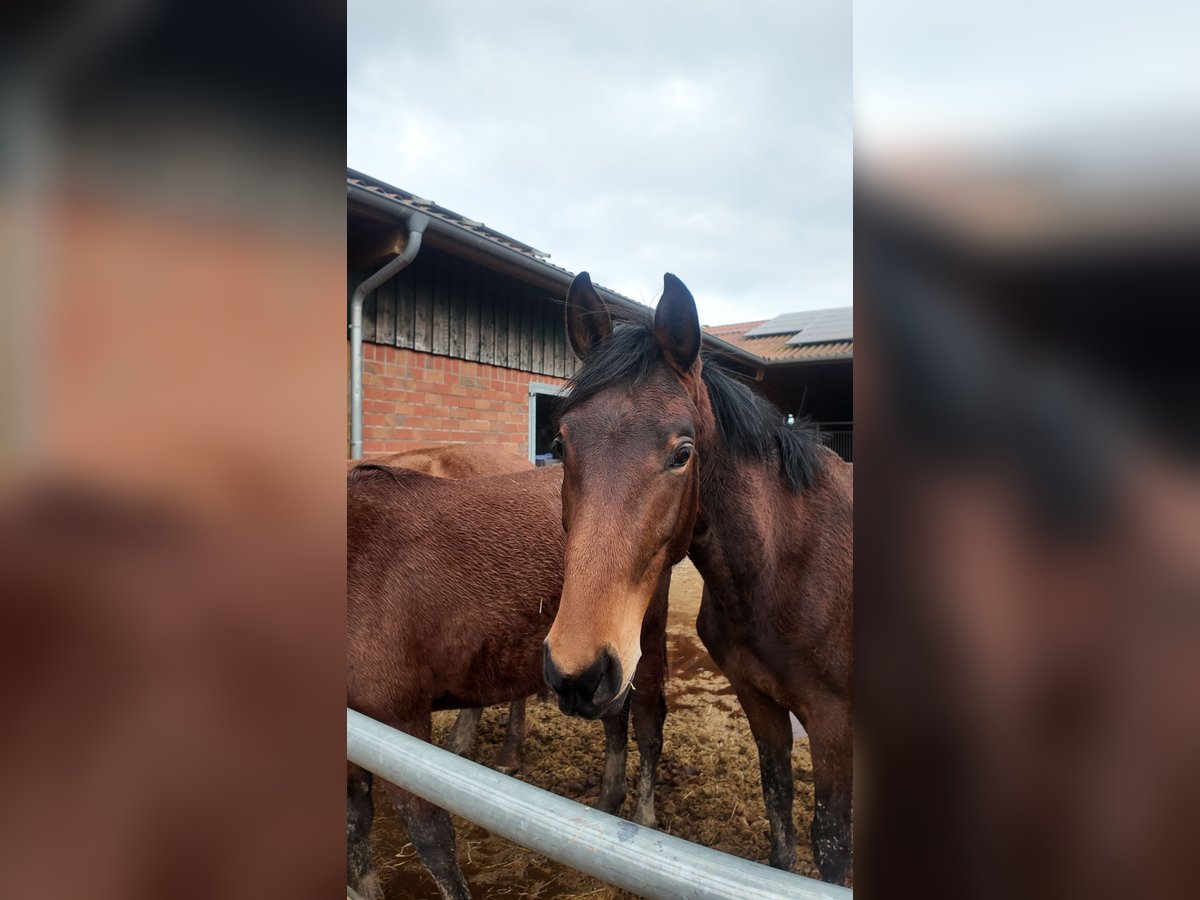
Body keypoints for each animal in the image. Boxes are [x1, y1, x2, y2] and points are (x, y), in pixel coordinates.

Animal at [544, 271, 854, 883]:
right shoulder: (760, 701)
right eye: (561, 445)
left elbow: (830, 843)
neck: (783, 567)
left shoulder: (833, 723)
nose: (578, 672)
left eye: (682, 452)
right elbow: (778, 806)